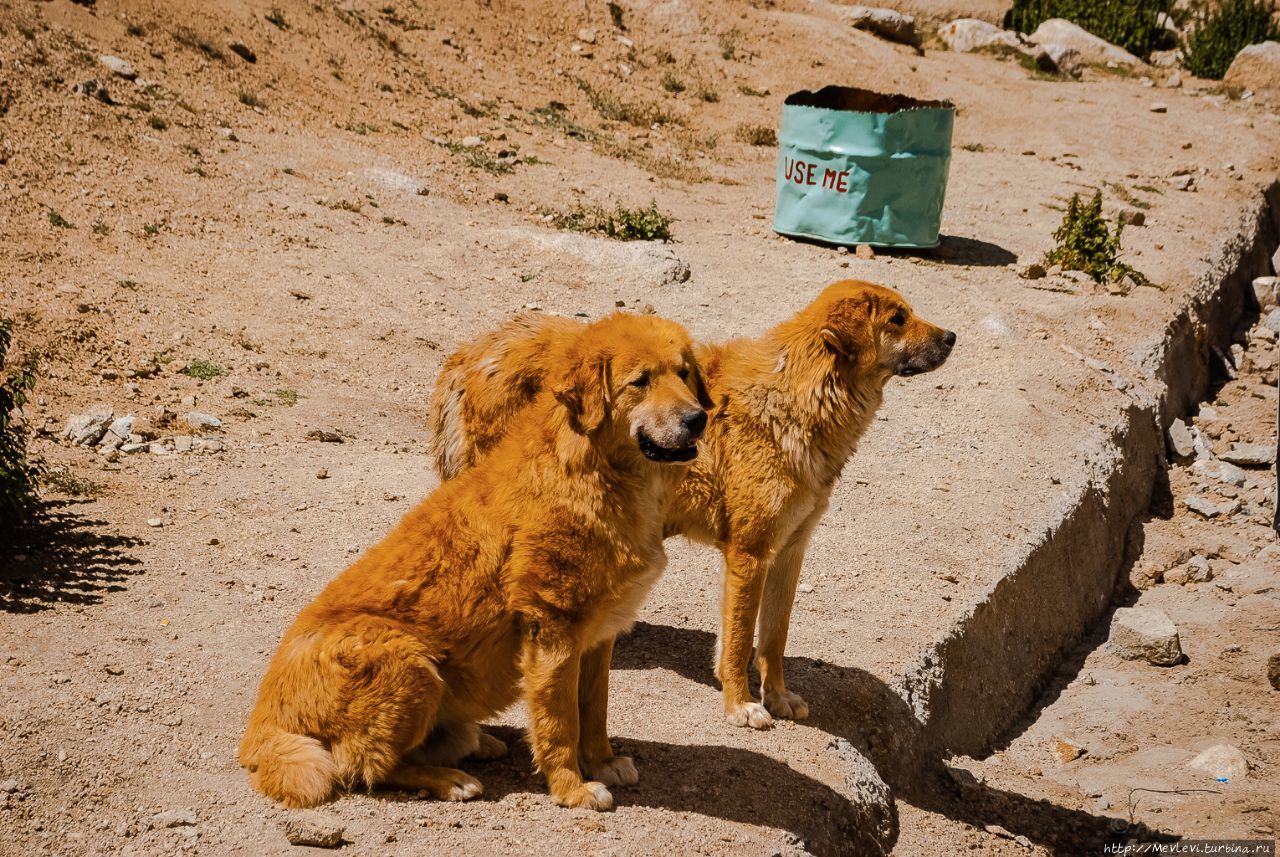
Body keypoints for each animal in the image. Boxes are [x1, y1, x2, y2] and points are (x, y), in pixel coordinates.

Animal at [240, 315, 711, 813]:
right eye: (640, 381)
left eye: (684, 374)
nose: (697, 419)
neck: (596, 471)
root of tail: (261, 721)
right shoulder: (553, 630)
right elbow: (560, 723)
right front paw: (572, 788)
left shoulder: (600, 636)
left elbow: (594, 709)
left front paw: (602, 762)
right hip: (408, 660)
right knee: (365, 764)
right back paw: (449, 778)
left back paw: (472, 743)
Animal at [427, 283, 952, 731]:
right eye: (898, 319)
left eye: (909, 311)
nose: (951, 336)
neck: (799, 398)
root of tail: (466, 355)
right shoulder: (748, 554)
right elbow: (739, 640)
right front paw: (741, 705)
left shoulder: (789, 552)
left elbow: (773, 638)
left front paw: (777, 697)